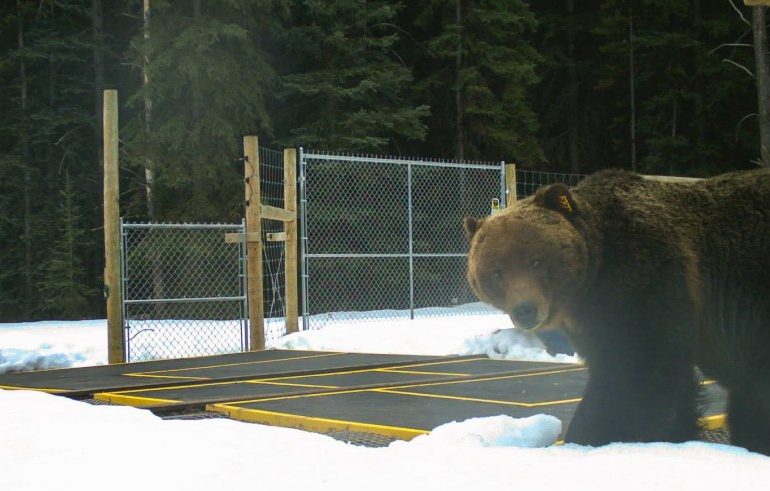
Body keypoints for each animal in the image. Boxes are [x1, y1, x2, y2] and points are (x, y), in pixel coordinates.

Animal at [462, 170, 768, 458]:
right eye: (496, 271)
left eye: (536, 261)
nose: (525, 309)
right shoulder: (592, 319)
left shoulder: (645, 279)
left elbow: (636, 373)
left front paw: (593, 435)